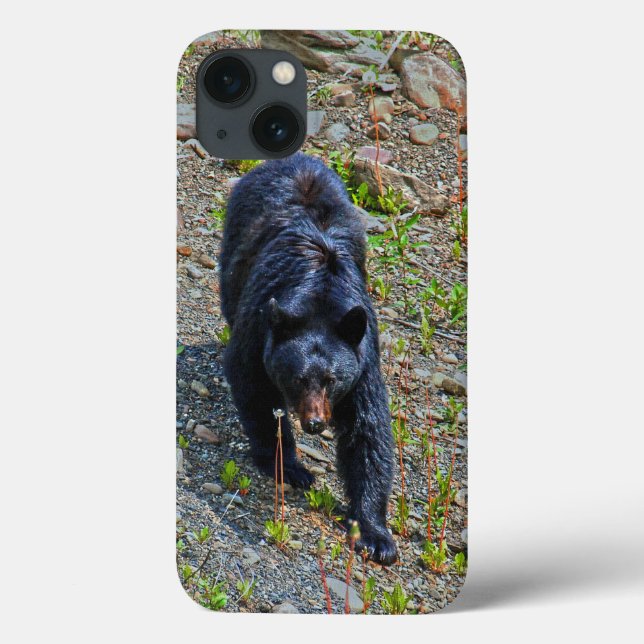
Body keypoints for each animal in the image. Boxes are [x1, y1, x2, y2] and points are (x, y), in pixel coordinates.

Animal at [219, 152, 396, 565]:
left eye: (332, 380)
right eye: (298, 378)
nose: (315, 423)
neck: (319, 293)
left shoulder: (364, 354)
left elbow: (367, 430)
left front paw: (376, 536)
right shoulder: (260, 323)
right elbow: (252, 383)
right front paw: (289, 467)